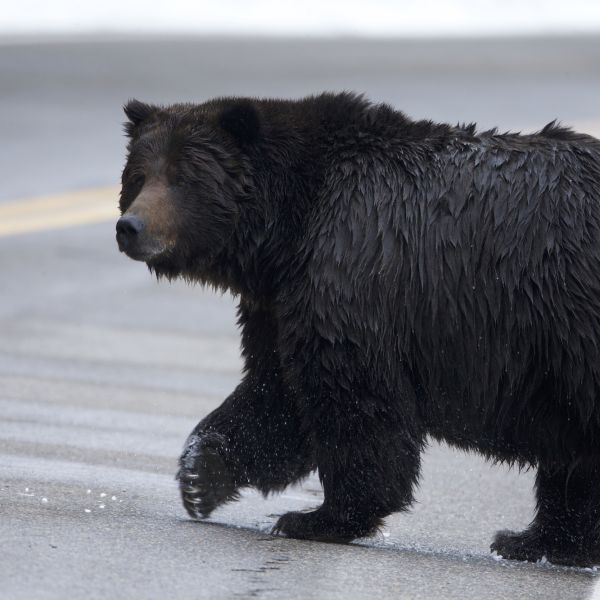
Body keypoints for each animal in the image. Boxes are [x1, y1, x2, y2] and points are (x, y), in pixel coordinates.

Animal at [116, 94, 600, 568]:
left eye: (182, 177)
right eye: (138, 176)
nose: (129, 227)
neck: (283, 233)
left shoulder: (351, 271)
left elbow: (352, 398)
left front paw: (318, 517)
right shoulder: (279, 303)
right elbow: (277, 394)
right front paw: (202, 472)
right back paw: (535, 540)